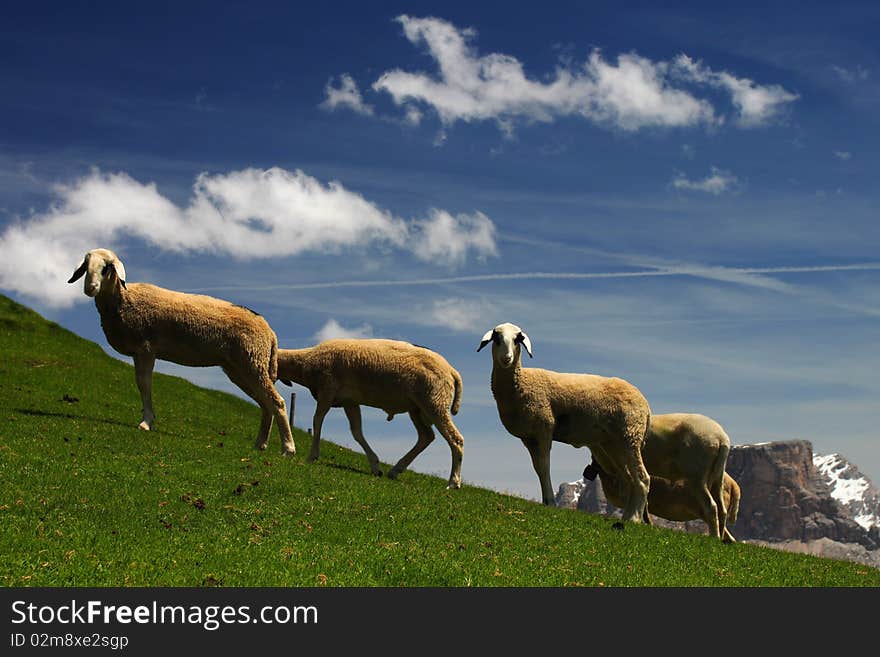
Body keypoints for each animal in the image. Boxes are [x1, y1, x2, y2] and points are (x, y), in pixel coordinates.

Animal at [65, 249, 298, 454]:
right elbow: (142, 384)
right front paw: (148, 420)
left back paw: (288, 448)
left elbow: (144, 384)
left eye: (107, 267)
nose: (90, 288)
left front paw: (146, 422)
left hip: (252, 362)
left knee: (277, 402)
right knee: (265, 404)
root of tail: (270, 332)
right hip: (241, 368)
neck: (123, 299)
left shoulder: (145, 348)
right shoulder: (142, 351)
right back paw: (260, 444)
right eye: (86, 266)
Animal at [278, 338, 464, 486]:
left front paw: (312, 456)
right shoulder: (349, 402)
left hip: (435, 403)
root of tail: (452, 371)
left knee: (456, 440)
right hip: (417, 408)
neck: (307, 362)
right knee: (426, 437)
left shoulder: (327, 389)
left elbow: (317, 420)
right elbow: (357, 432)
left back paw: (454, 482)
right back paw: (395, 470)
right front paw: (375, 466)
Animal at [478, 322, 648, 524]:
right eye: (496, 338)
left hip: (630, 436)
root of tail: (645, 404)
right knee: (629, 480)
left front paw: (551, 502)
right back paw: (628, 516)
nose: (506, 358)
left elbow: (545, 466)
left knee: (643, 479)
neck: (520, 383)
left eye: (517, 339)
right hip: (613, 444)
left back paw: (634, 518)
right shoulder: (528, 437)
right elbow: (538, 468)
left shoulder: (544, 427)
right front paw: (545, 500)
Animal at [584, 412, 736, 540]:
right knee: (722, 510)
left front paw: (631, 518)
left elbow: (632, 492)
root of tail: (721, 439)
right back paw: (720, 538)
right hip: (717, 477)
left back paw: (714, 537)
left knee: (711, 507)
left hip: (697, 477)